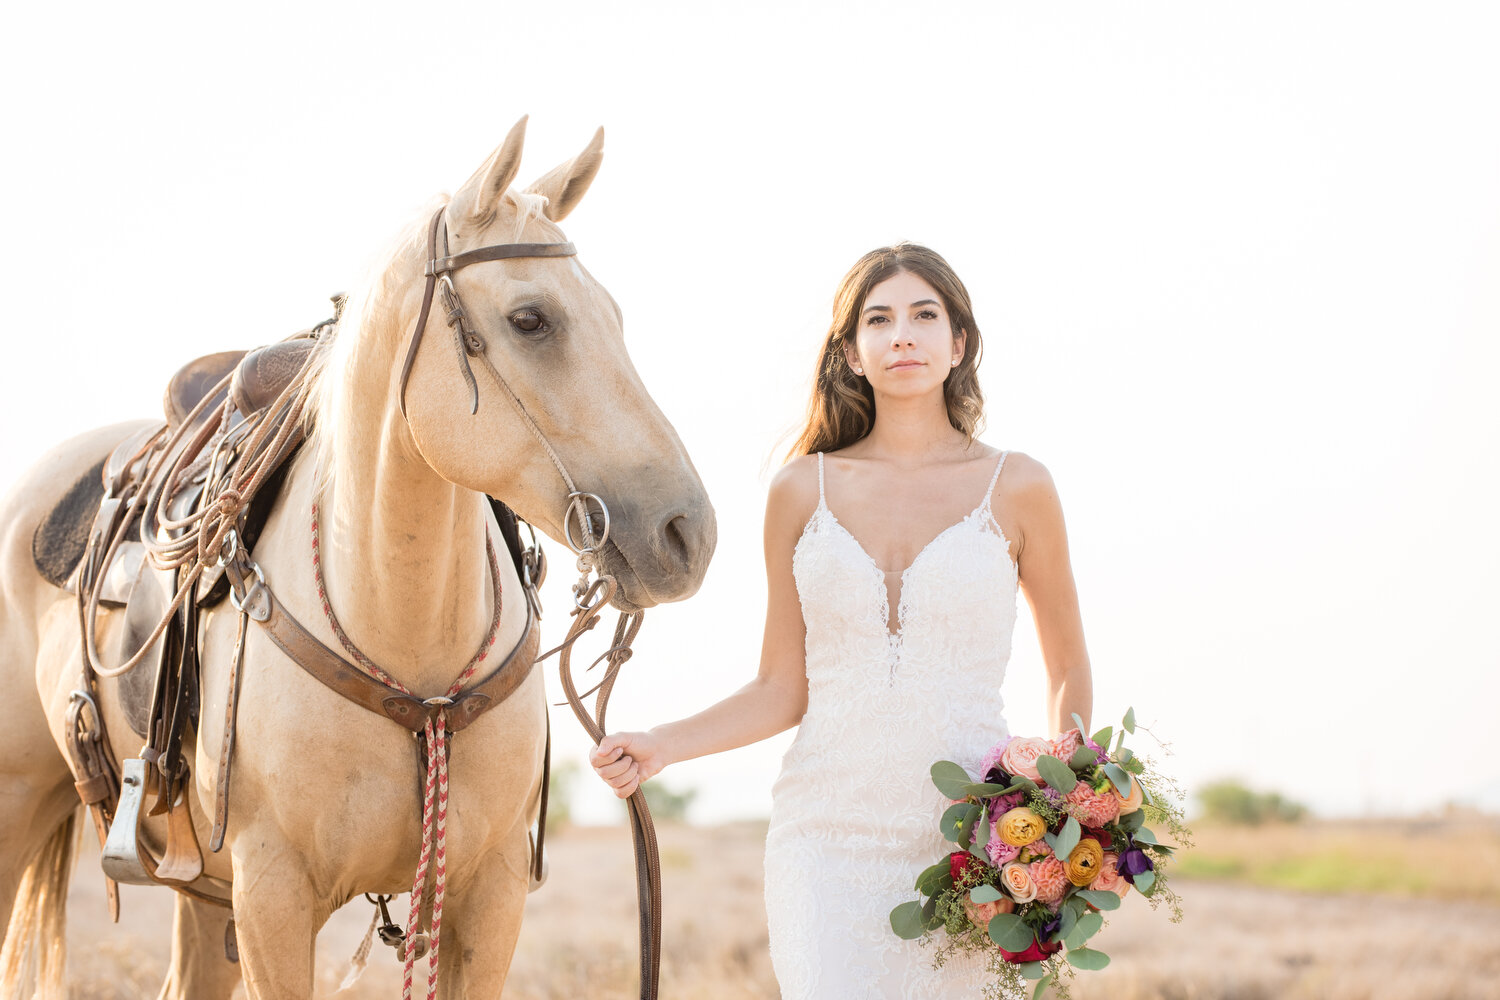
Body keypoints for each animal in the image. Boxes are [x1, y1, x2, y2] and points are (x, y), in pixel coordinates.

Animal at [0, 119, 717, 1000]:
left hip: (200, 887)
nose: (686, 533)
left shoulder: (490, 893)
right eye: (531, 319)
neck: (404, 631)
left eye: (613, 313)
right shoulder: (272, 898)